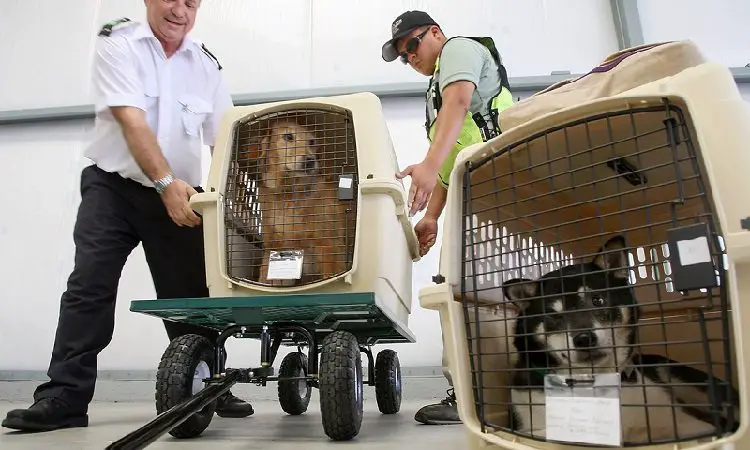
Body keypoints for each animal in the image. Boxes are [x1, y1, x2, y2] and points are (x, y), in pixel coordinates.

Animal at [222, 107, 360, 286]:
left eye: (312, 142)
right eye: (288, 136)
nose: (310, 161)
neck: (288, 192)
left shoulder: (329, 247)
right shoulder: (274, 250)